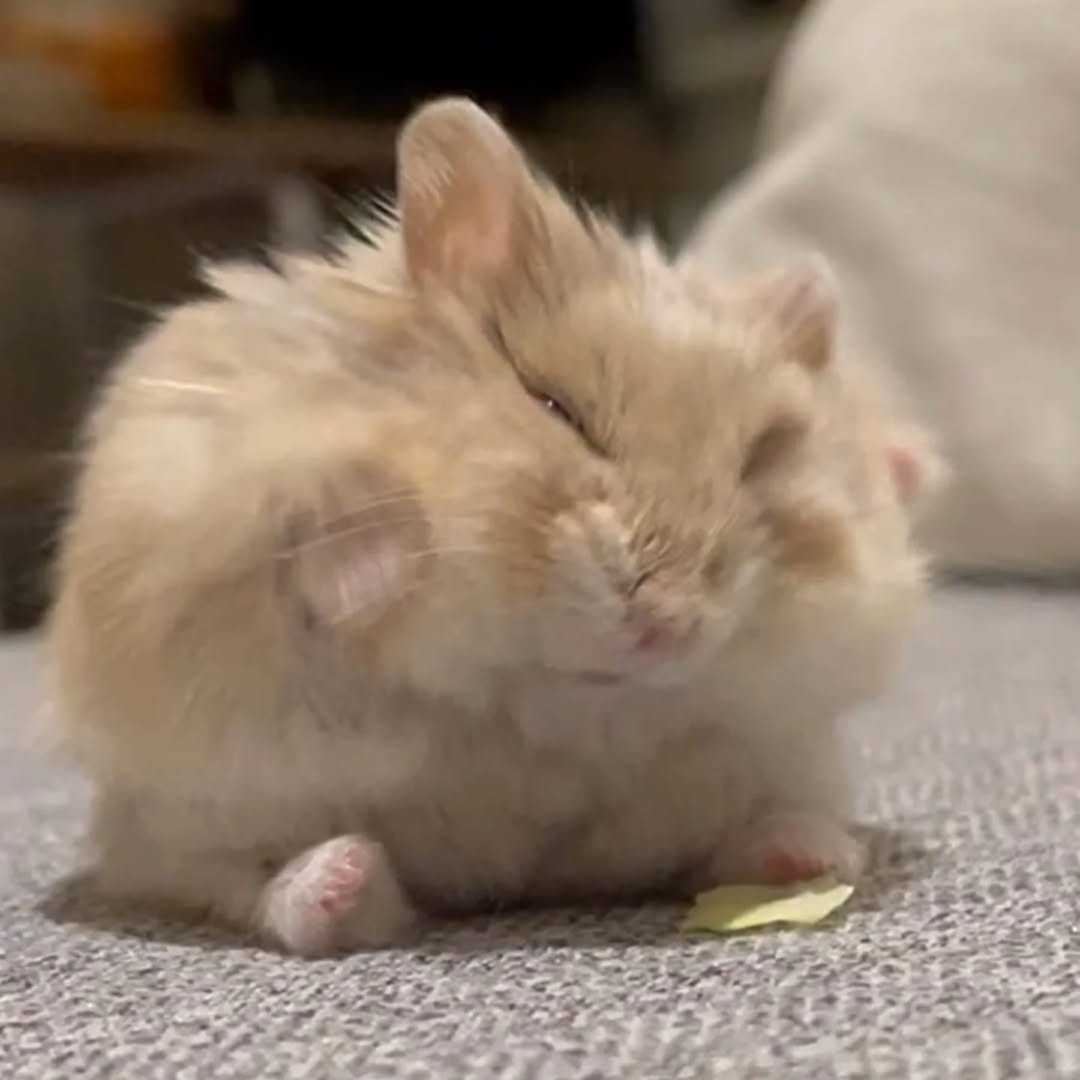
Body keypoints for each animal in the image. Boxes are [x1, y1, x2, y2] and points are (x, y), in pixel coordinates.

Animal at [44, 98, 938, 956]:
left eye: (762, 456)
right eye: (557, 407)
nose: (669, 625)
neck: (542, 681)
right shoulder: (191, 505)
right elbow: (316, 540)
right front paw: (385, 553)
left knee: (722, 842)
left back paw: (813, 854)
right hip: (171, 822)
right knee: (251, 888)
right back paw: (340, 876)